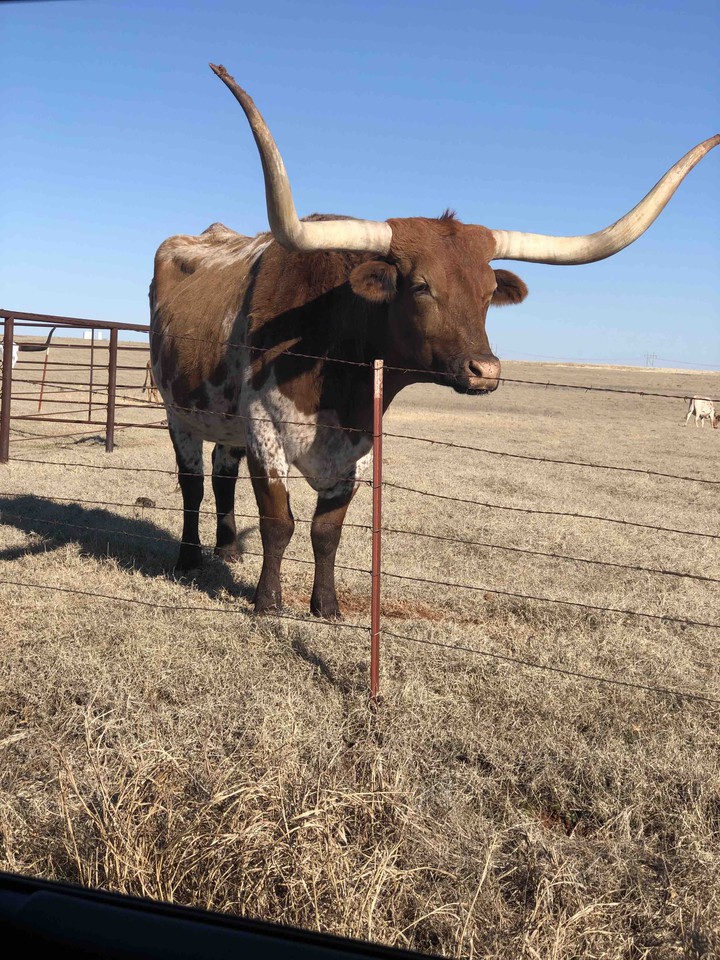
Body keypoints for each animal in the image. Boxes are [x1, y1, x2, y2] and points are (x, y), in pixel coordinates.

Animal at [149, 63, 718, 617]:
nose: (485, 371)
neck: (335, 355)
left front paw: (326, 607)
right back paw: (188, 558)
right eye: (421, 286)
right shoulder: (265, 433)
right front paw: (268, 605)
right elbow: (279, 524)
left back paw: (227, 550)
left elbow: (326, 530)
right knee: (193, 482)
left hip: (224, 423)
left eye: (489, 292)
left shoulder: (359, 447)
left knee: (221, 476)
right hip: (179, 413)